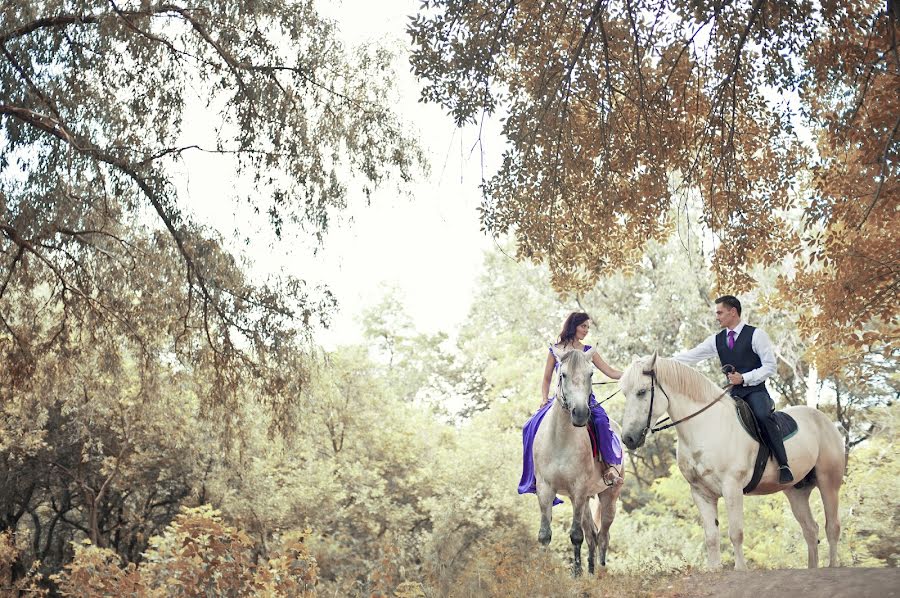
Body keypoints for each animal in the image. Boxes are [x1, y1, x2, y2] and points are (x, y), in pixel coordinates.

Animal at [532, 350, 624, 580]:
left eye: (591, 374)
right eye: (562, 374)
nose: (581, 413)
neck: (561, 439)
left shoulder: (579, 488)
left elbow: (575, 535)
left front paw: (576, 574)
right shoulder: (545, 488)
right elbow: (545, 534)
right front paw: (542, 574)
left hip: (608, 497)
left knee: (603, 536)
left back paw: (600, 573)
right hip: (584, 501)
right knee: (592, 535)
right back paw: (590, 574)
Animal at [620, 356, 844, 572]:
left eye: (641, 392)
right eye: (625, 394)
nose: (628, 439)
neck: (706, 426)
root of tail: (825, 420)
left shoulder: (732, 487)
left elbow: (736, 532)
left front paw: (740, 568)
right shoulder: (701, 493)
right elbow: (711, 536)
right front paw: (714, 568)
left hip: (828, 484)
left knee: (832, 527)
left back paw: (833, 566)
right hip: (796, 492)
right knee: (810, 529)